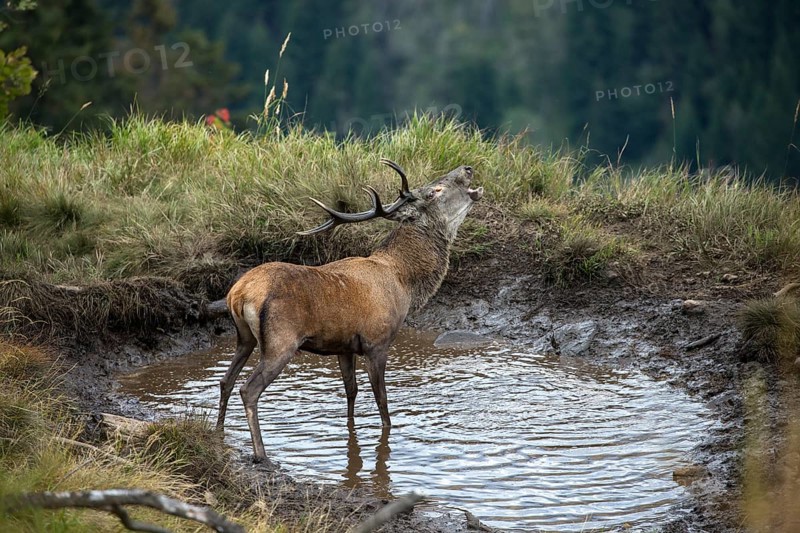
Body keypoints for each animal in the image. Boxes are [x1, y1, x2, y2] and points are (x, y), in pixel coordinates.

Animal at [217, 158, 483, 461]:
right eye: (434, 191)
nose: (467, 169)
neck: (404, 283)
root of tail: (239, 293)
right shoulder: (377, 341)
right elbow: (382, 401)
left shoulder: (344, 346)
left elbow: (351, 391)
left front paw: (351, 434)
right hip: (279, 341)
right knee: (248, 389)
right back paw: (261, 454)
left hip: (245, 337)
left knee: (225, 380)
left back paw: (218, 433)